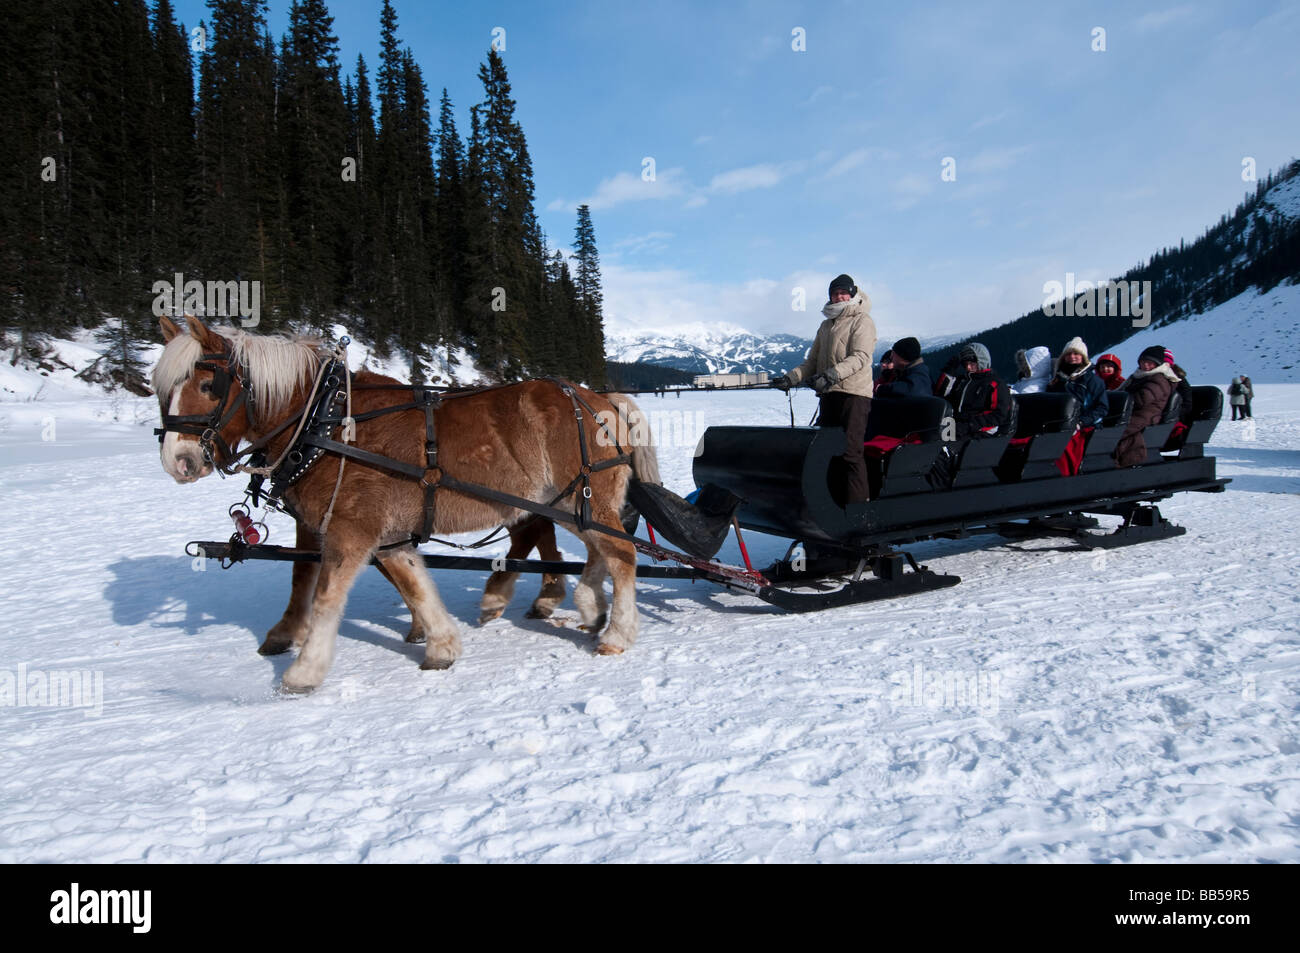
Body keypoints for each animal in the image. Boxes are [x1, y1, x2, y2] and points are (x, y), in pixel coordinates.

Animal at [153, 314, 658, 693]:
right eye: (162, 389)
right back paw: (583, 604)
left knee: (620, 554)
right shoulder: (384, 531)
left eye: (209, 384)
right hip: (569, 503)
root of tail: (598, 398)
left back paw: (613, 631)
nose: (178, 461)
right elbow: (412, 583)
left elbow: (323, 594)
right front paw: (441, 644)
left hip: (578, 499)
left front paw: (304, 671)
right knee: (591, 550)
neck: (323, 421)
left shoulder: (350, 526)